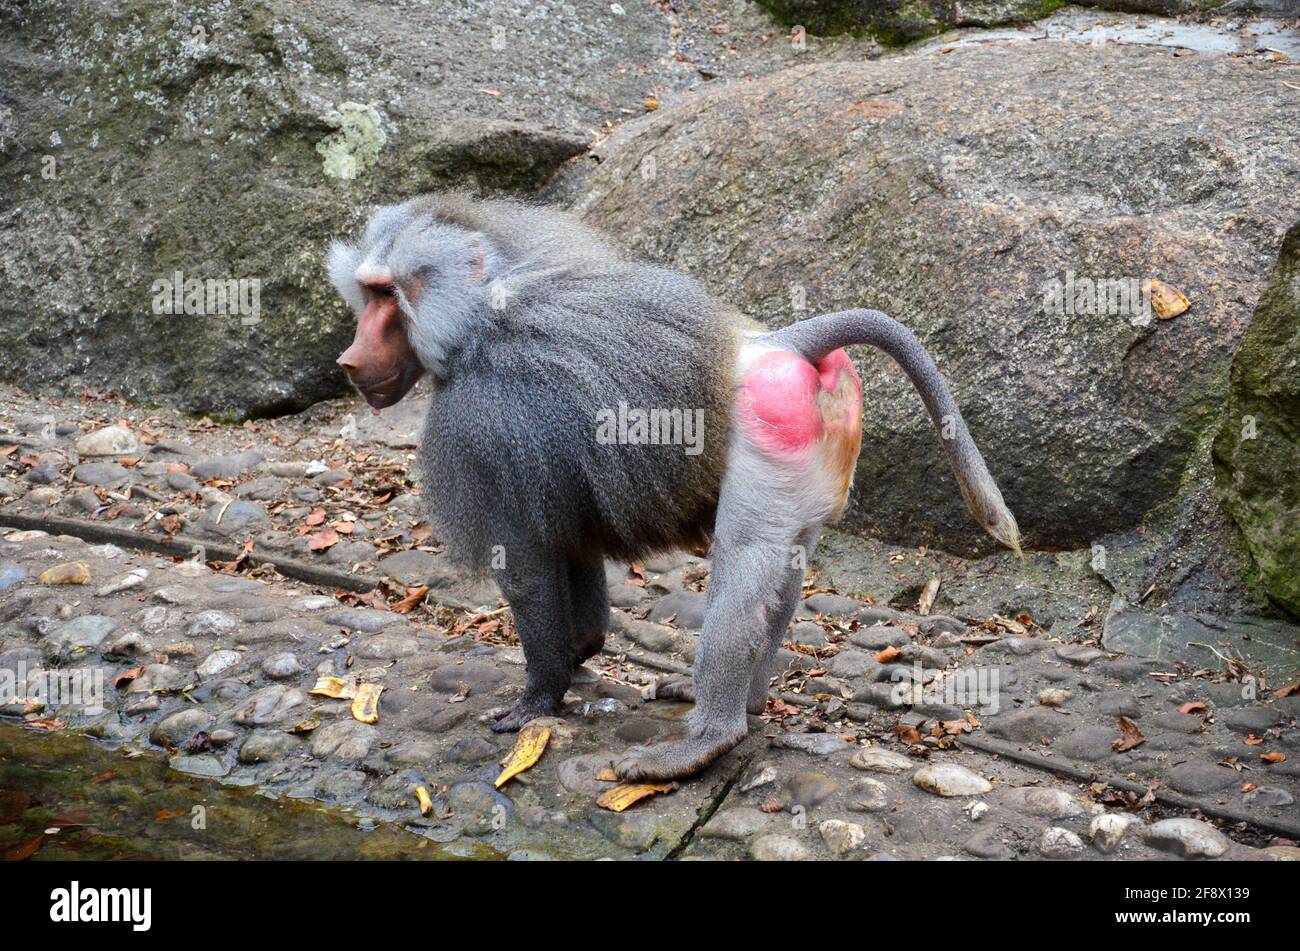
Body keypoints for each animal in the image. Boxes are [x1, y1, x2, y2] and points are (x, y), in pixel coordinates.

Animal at [327, 192, 1020, 782]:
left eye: (388, 296)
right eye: (369, 294)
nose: (349, 363)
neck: (490, 309)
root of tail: (780, 343)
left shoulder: (483, 420)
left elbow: (525, 561)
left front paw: (538, 697)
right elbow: (569, 538)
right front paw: (583, 648)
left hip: (771, 445)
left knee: (743, 563)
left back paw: (705, 741)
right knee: (784, 572)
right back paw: (751, 702)